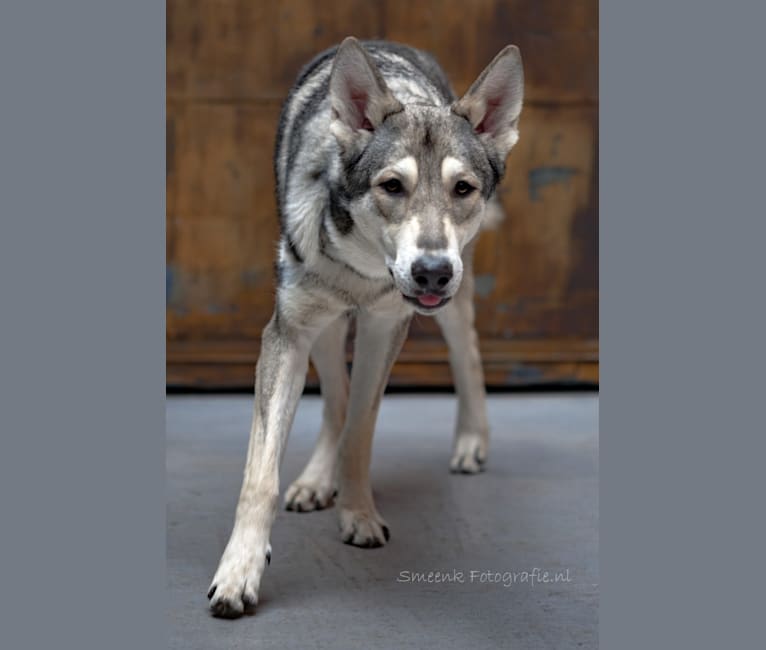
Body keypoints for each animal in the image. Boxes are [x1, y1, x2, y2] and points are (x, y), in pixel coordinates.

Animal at [207, 38, 524, 616]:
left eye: (462, 188)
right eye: (392, 186)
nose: (431, 271)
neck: (364, 266)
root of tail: (385, 43)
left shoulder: (384, 329)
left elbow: (360, 432)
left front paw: (358, 517)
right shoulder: (286, 334)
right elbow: (261, 474)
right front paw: (238, 571)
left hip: (450, 304)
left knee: (465, 353)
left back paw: (471, 441)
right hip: (325, 329)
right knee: (335, 394)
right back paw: (315, 480)